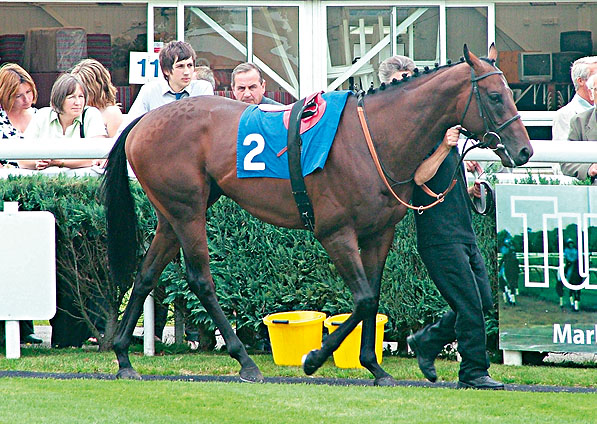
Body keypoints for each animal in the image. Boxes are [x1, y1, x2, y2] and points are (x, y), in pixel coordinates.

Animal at [101, 44, 532, 386]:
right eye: (495, 96)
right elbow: (362, 298)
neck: (373, 139)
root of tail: (143, 120)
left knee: (146, 274)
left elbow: (372, 297)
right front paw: (313, 359)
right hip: (187, 211)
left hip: (173, 213)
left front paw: (374, 366)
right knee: (200, 278)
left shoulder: (379, 233)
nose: (525, 151)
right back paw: (244, 359)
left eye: (511, 93)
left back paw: (123, 355)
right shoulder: (335, 232)